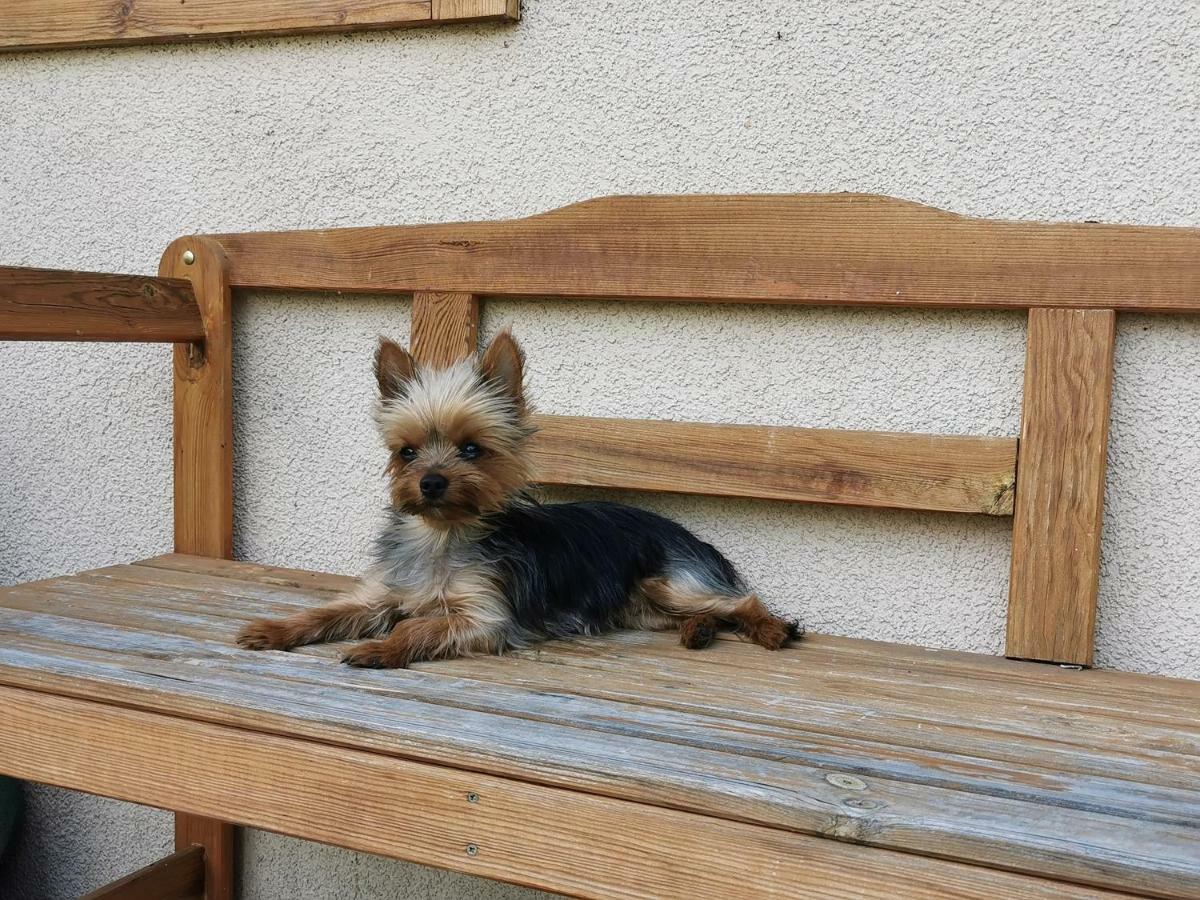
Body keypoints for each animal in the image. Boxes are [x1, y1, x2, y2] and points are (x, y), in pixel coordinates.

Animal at [237, 333, 801, 672]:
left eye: (471, 449)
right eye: (406, 452)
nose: (431, 482)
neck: (441, 534)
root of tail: (690, 535)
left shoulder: (482, 618)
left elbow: (420, 625)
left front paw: (381, 647)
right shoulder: (380, 594)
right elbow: (328, 612)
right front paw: (272, 629)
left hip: (672, 580)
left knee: (741, 602)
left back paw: (770, 630)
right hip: (641, 607)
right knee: (696, 614)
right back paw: (698, 631)